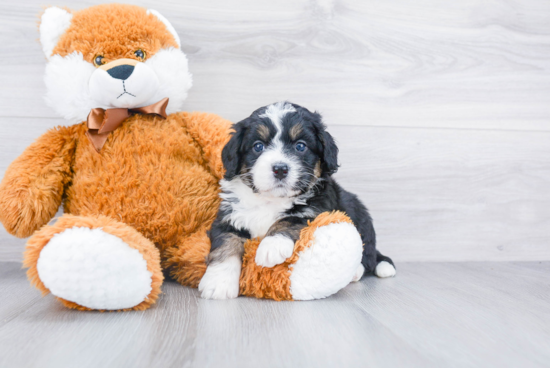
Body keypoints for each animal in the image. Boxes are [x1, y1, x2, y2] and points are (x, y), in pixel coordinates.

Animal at [198, 101, 396, 300]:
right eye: (258, 146)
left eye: (300, 146)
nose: (280, 169)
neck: (270, 200)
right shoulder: (228, 217)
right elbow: (226, 245)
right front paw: (218, 283)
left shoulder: (316, 210)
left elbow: (290, 219)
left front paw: (272, 245)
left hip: (360, 219)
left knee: (368, 256)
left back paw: (359, 270)